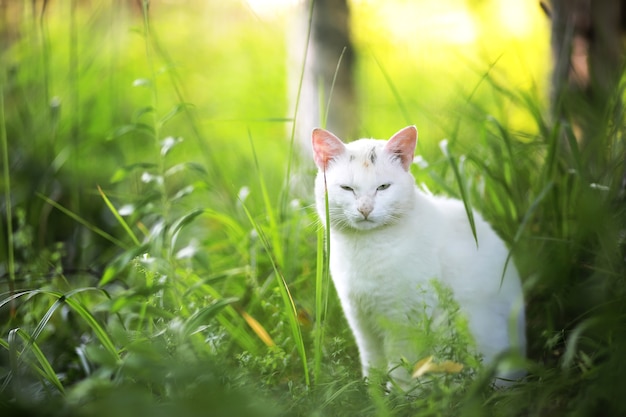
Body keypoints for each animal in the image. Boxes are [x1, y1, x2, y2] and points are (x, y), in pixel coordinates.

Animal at [310, 124, 520, 386]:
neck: (366, 248)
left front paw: (399, 393)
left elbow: (402, 368)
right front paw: (371, 390)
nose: (365, 209)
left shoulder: (405, 323)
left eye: (383, 187)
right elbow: (372, 361)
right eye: (347, 188)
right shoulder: (360, 320)